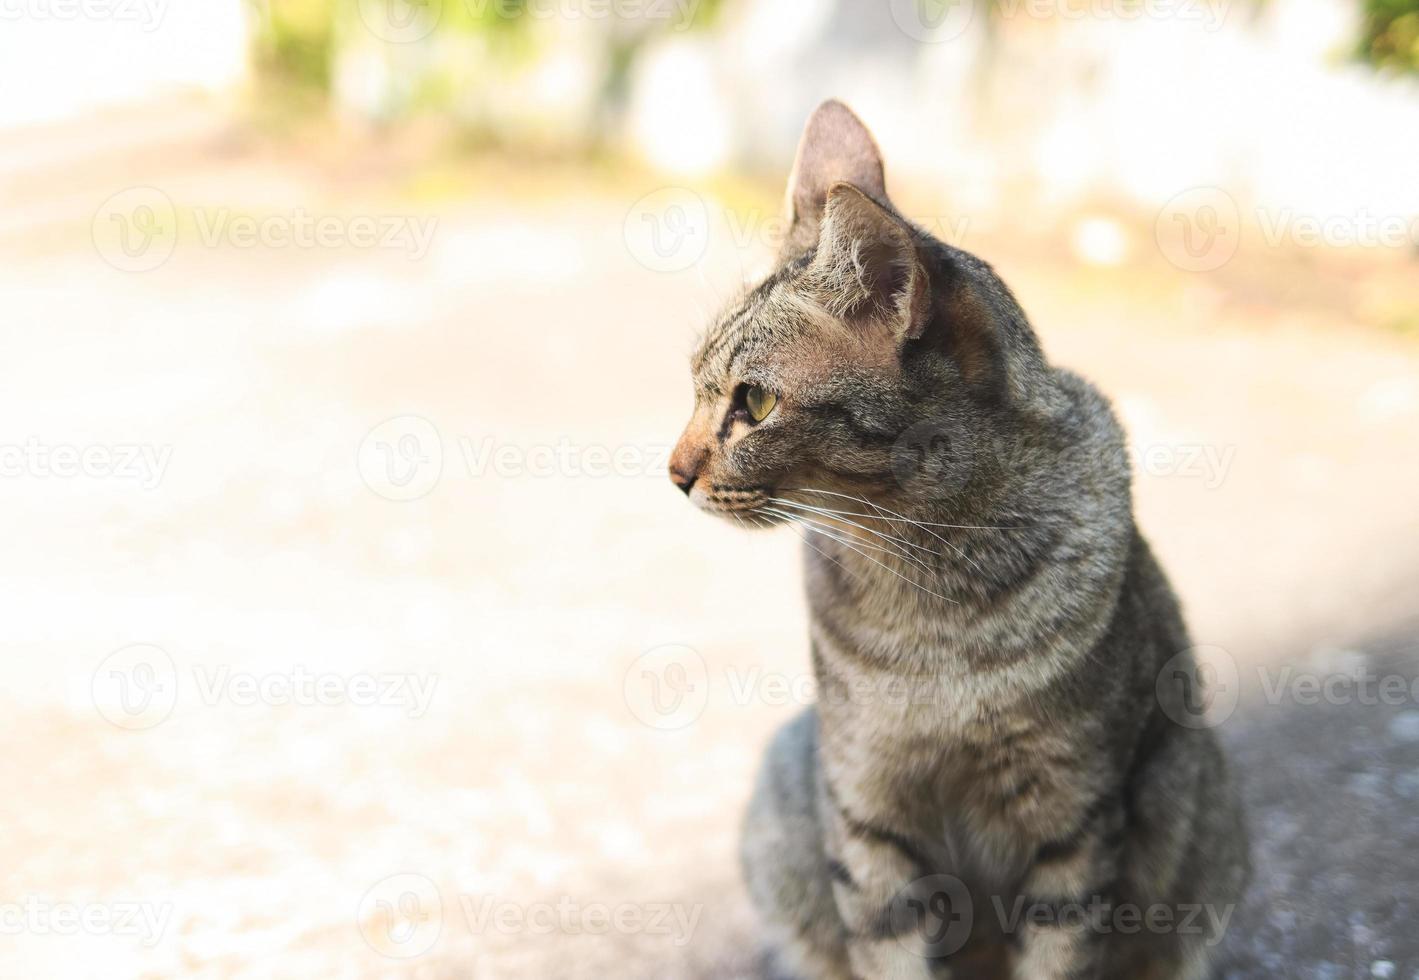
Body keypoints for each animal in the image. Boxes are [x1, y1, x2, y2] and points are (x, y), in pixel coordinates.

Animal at [666, 101, 1254, 980]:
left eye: (756, 404)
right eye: (696, 386)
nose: (672, 472)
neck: (930, 587)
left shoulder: (1072, 821)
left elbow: (1057, 955)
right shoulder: (863, 808)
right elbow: (887, 952)